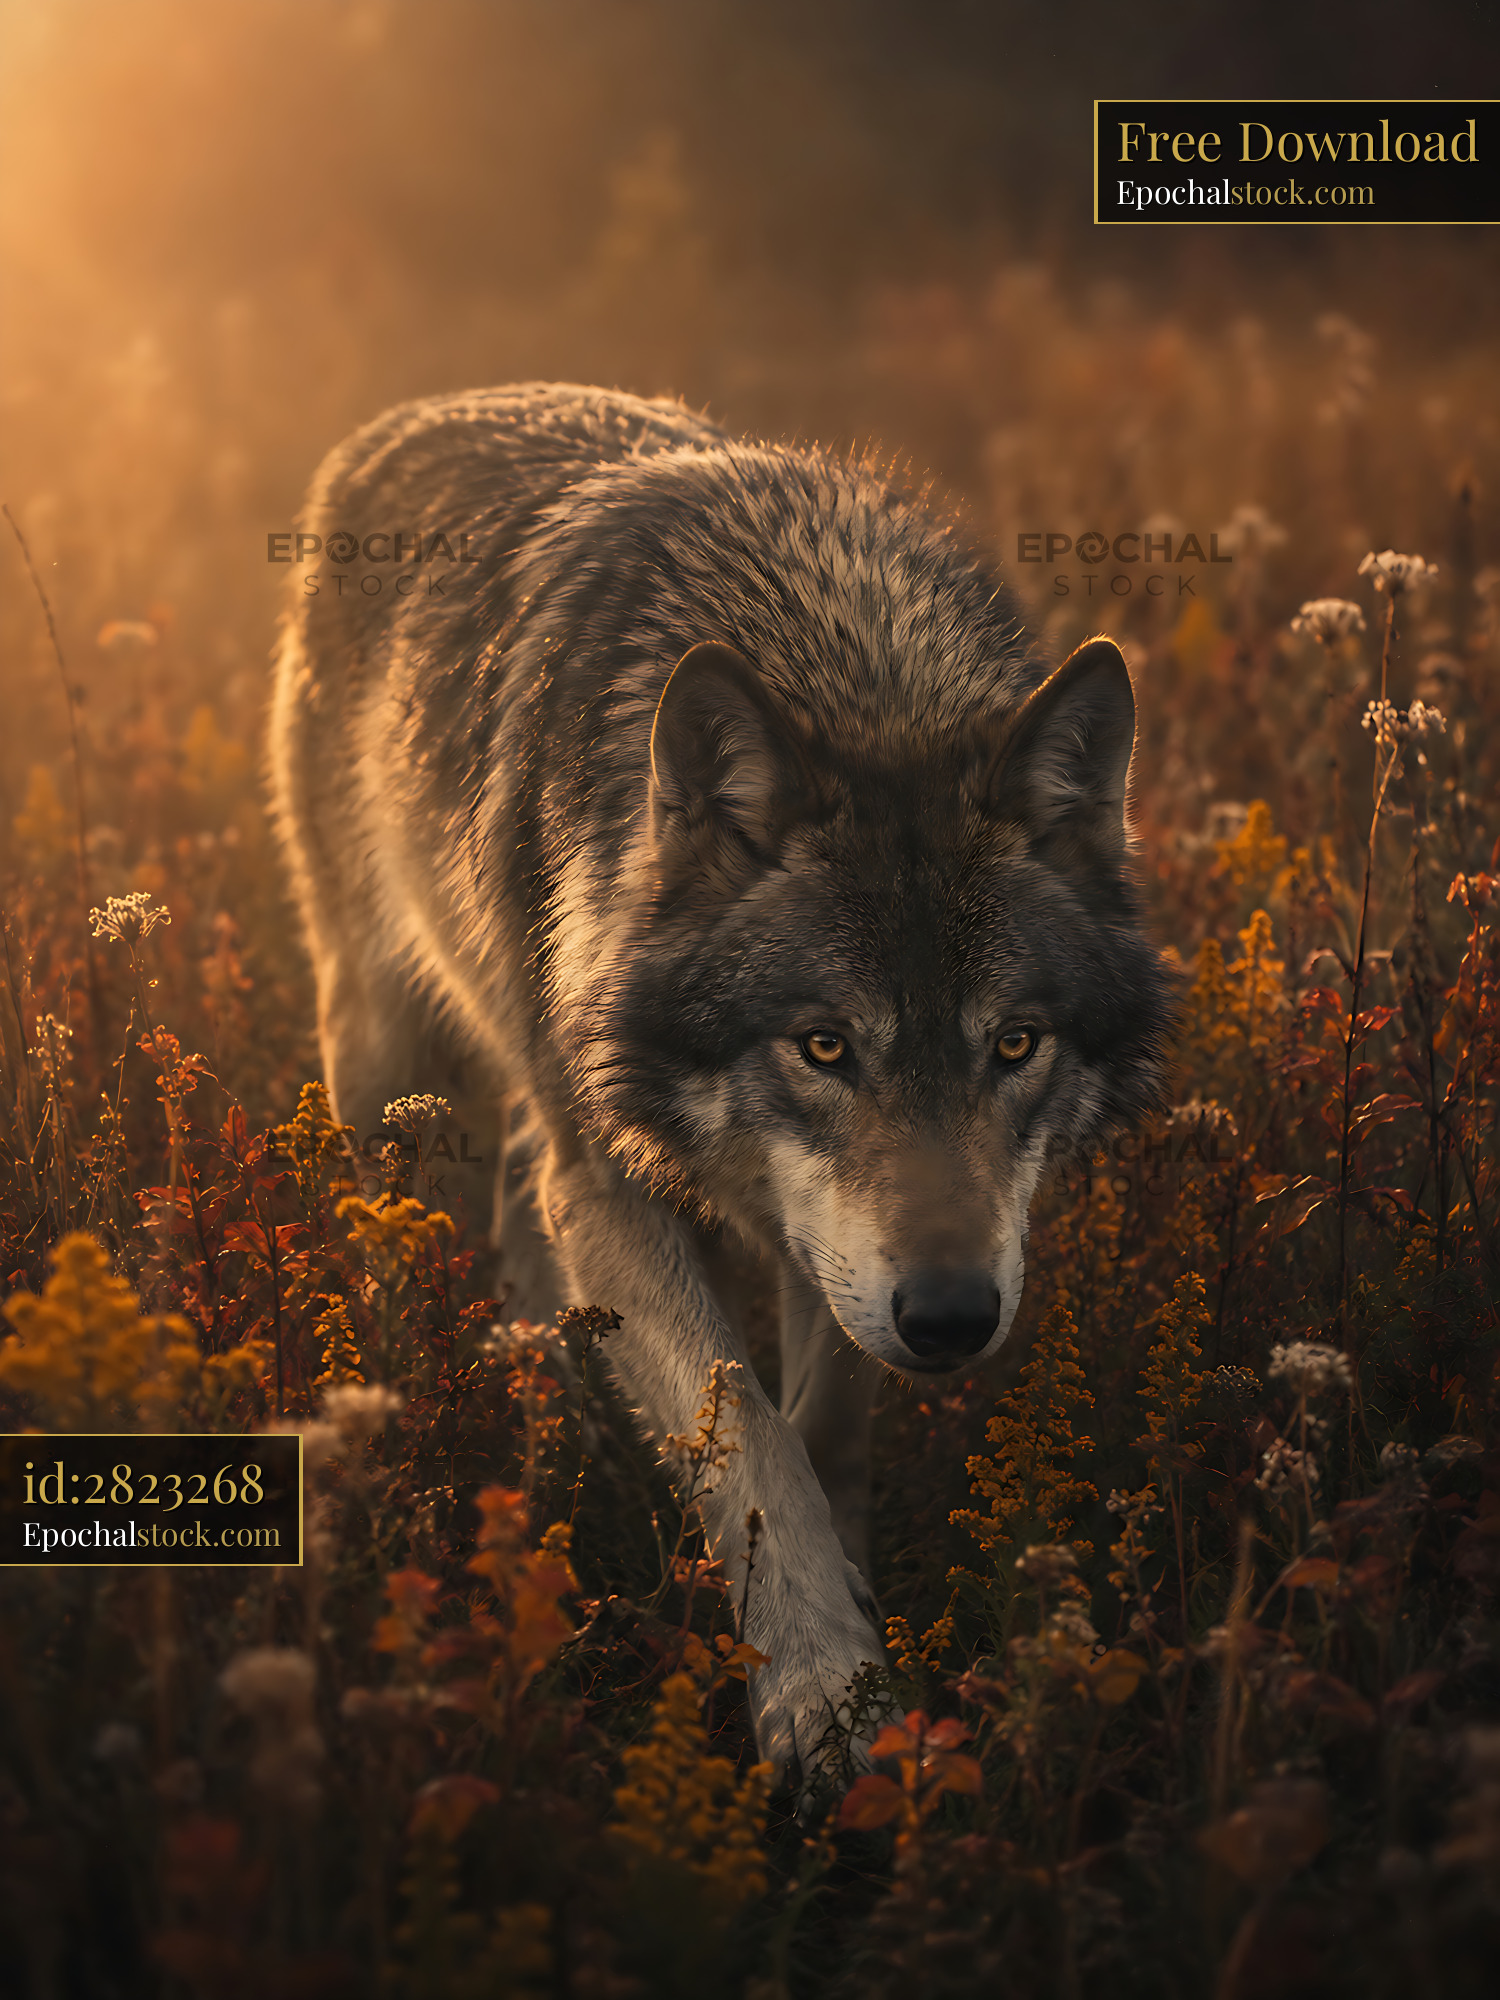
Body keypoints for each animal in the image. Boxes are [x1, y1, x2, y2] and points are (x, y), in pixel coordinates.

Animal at [268, 382, 1171, 1782]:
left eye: (1015, 1045)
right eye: (824, 1046)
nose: (954, 1318)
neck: (843, 659)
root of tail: (417, 410)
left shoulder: (840, 1254)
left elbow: (824, 1418)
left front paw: (849, 1620)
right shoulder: (618, 1183)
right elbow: (744, 1420)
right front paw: (821, 1689)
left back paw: (560, 1402)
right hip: (389, 1052)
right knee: (404, 1236)